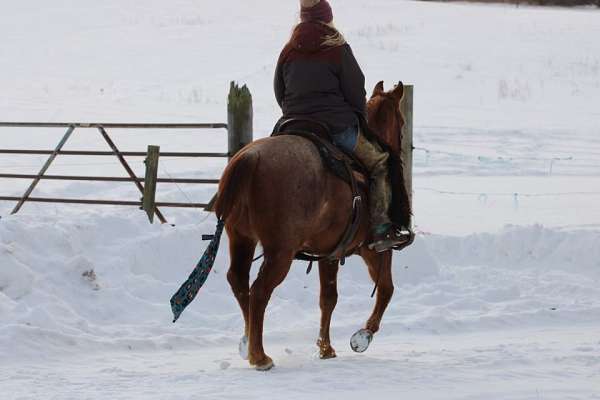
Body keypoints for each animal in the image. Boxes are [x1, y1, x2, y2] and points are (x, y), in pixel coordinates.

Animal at [213, 79, 410, 370]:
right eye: (402, 121)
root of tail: (251, 159)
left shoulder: (329, 253)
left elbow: (328, 298)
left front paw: (325, 348)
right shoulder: (374, 249)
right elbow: (386, 289)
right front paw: (362, 336)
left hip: (240, 238)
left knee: (239, 281)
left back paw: (248, 343)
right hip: (280, 252)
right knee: (259, 291)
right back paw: (260, 356)